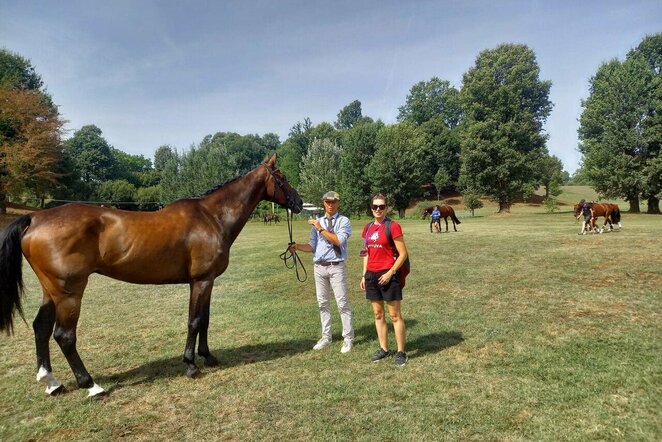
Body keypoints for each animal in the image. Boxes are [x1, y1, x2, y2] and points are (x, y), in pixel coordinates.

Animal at [0, 155, 304, 398]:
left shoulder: (206, 282)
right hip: (69, 293)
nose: (299, 202)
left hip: (50, 290)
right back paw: (91, 386)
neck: (211, 217)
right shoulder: (201, 281)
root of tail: (35, 219)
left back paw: (52, 383)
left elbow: (205, 320)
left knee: (40, 328)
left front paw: (208, 356)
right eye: (282, 177)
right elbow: (195, 321)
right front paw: (191, 365)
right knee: (64, 336)